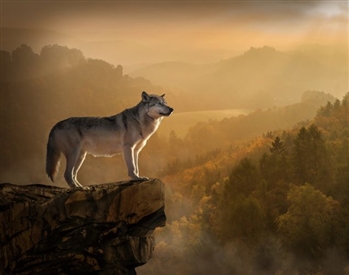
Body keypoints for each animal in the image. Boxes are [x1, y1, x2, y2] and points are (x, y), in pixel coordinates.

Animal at [44, 91, 173, 189]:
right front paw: (136, 178)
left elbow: (136, 167)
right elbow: (132, 167)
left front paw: (139, 177)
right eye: (159, 104)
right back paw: (78, 188)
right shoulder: (128, 147)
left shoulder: (136, 151)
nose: (172, 109)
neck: (139, 121)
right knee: (67, 174)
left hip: (81, 156)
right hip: (74, 154)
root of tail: (56, 125)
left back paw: (82, 187)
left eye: (166, 103)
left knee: (73, 174)